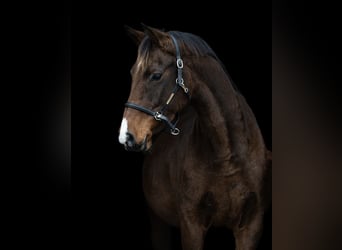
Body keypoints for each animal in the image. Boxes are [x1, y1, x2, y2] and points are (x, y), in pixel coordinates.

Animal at [119, 24, 272, 249]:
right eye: (131, 74)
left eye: (155, 75)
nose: (126, 135)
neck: (227, 155)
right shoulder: (191, 226)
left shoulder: (251, 227)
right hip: (157, 221)